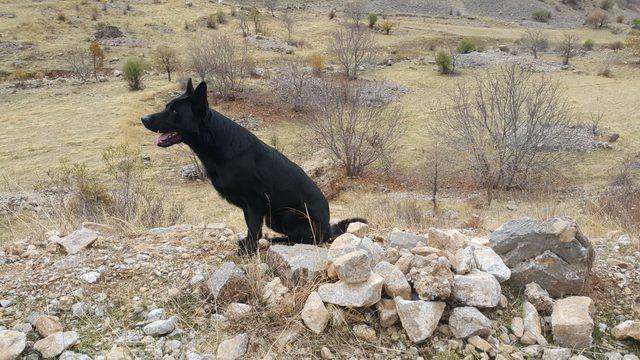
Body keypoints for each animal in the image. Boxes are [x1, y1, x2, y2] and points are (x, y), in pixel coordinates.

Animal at [143, 79, 368, 253]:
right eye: (167, 106)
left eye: (173, 111)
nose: (143, 118)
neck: (218, 143)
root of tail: (329, 229)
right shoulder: (248, 207)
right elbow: (251, 229)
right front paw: (248, 244)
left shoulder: (254, 202)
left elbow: (253, 228)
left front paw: (249, 250)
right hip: (273, 218)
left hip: (287, 215)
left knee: (306, 239)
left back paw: (277, 241)